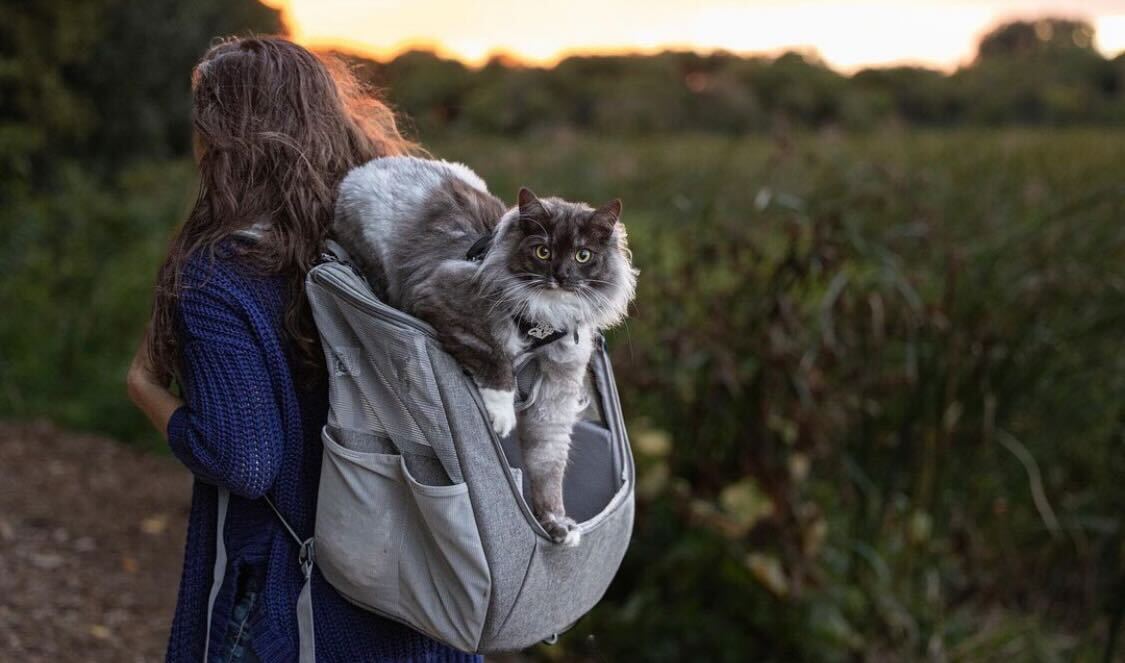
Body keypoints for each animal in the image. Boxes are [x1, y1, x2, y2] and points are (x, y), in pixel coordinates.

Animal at [328, 155, 639, 542]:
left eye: (583, 256)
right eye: (543, 251)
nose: (561, 275)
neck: (545, 320)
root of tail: (367, 168)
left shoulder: (555, 397)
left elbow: (547, 467)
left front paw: (556, 523)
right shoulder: (442, 301)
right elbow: (494, 358)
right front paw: (499, 415)